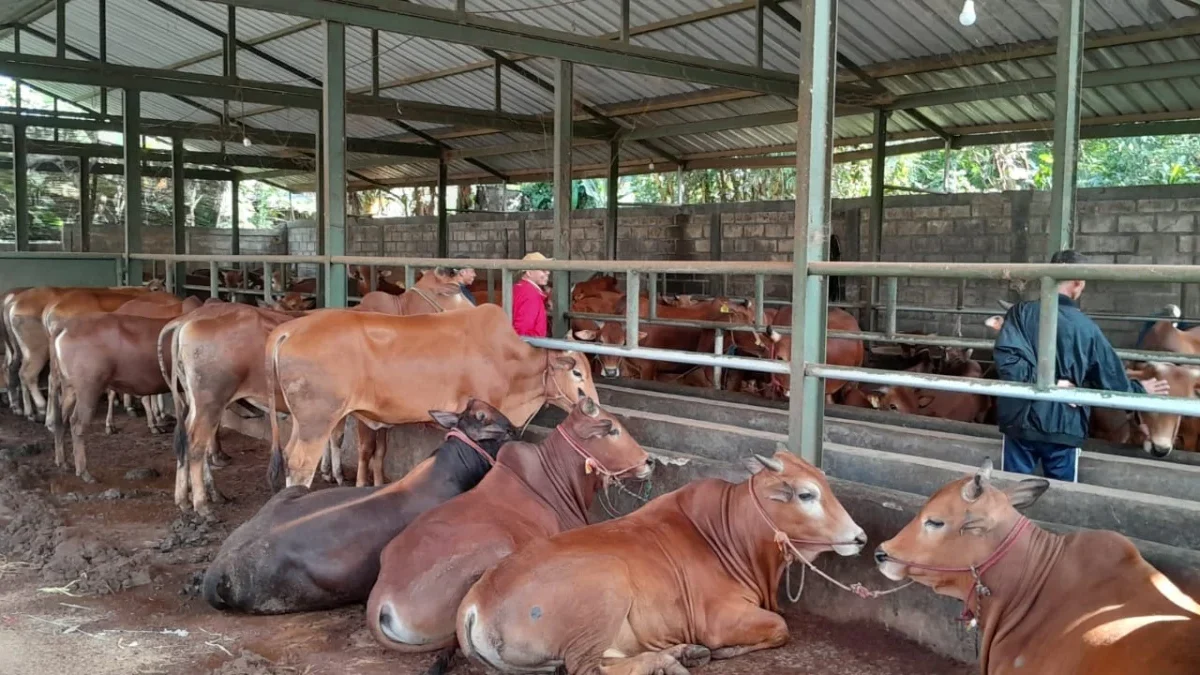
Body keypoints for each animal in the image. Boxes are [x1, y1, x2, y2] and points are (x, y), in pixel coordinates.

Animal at [265, 303, 597, 487]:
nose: (593, 405)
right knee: (300, 464)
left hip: (304, 423)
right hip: (318, 422)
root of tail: (290, 329)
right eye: (577, 373)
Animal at [456, 446, 864, 672]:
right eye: (807, 494)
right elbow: (780, 627)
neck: (731, 535)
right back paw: (669, 661)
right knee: (588, 669)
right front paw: (728, 650)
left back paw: (682, 654)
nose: (860, 537)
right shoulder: (719, 619)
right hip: (607, 585)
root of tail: (475, 601)